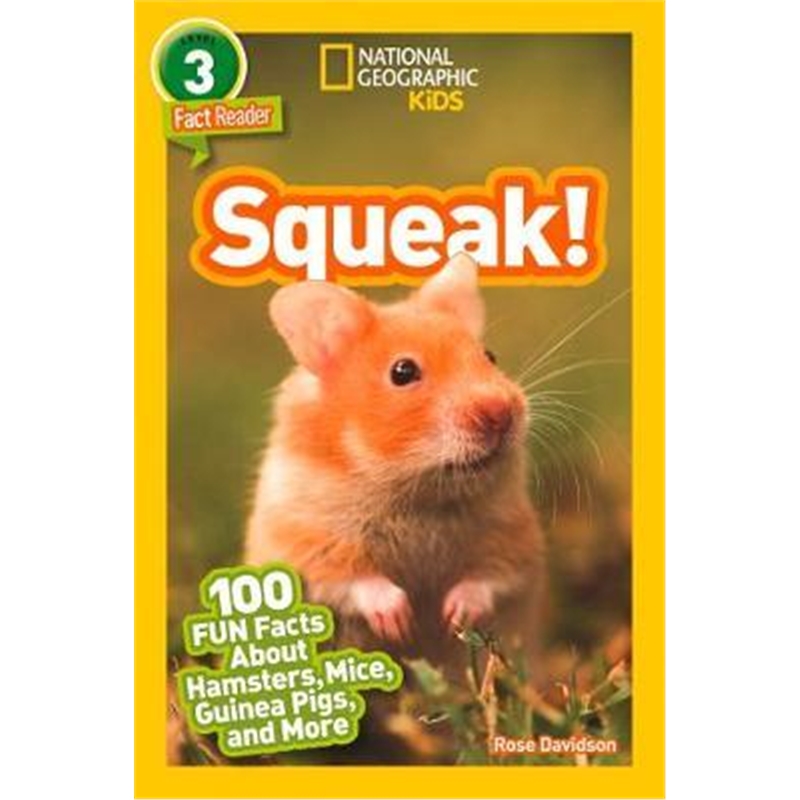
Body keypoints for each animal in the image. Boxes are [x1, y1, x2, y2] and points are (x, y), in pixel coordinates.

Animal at [245, 253, 545, 677]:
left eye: (490, 356)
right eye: (402, 372)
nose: (500, 413)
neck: (420, 494)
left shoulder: (514, 539)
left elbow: (488, 577)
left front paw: (452, 616)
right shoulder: (305, 541)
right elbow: (354, 579)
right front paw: (400, 623)